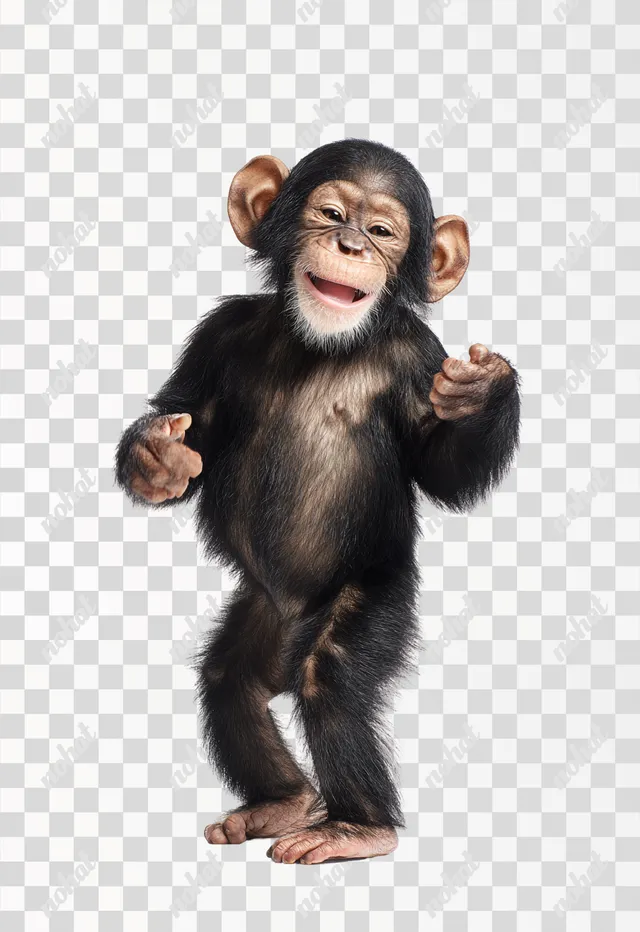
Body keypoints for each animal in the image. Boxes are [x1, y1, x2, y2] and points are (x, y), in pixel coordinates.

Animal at [115, 139, 520, 865]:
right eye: (330, 212)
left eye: (383, 230)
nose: (351, 243)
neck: (323, 344)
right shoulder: (216, 335)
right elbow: (188, 417)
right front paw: (157, 458)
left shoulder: (418, 360)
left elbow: (444, 470)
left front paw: (482, 390)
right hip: (262, 613)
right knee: (230, 680)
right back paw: (283, 801)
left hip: (374, 591)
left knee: (329, 678)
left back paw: (355, 828)